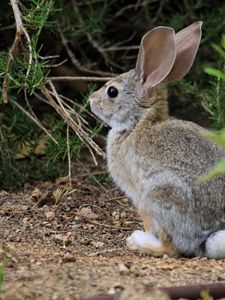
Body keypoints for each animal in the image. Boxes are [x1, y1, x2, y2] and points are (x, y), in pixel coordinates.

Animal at [89, 22, 225, 258]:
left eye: (112, 92)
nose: (91, 100)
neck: (137, 123)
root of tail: (211, 235)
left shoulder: (138, 193)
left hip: (159, 192)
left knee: (173, 248)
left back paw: (137, 241)